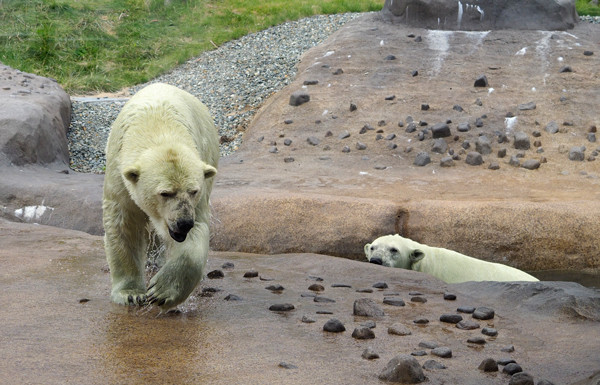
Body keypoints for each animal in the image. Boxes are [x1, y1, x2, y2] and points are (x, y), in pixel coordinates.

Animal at [102, 83, 218, 308]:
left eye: (193, 191)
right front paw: (130, 293)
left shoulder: (198, 195)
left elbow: (198, 230)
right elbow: (123, 224)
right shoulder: (119, 176)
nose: (183, 223)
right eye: (165, 193)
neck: (157, 125)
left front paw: (161, 291)